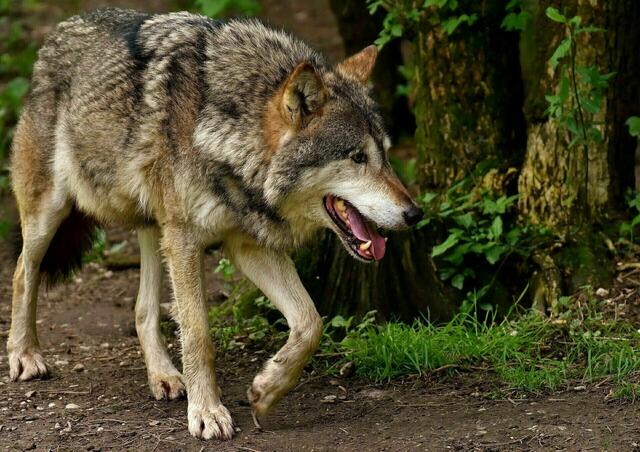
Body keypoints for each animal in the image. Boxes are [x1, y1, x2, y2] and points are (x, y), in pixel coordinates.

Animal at [8, 8, 423, 440]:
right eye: (357, 157)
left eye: (386, 155)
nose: (415, 213)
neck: (227, 134)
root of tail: (59, 31)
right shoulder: (187, 240)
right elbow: (198, 335)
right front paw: (206, 412)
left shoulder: (247, 245)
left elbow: (311, 322)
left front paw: (266, 391)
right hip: (51, 213)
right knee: (23, 272)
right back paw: (24, 355)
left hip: (155, 227)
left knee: (143, 309)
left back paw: (164, 376)